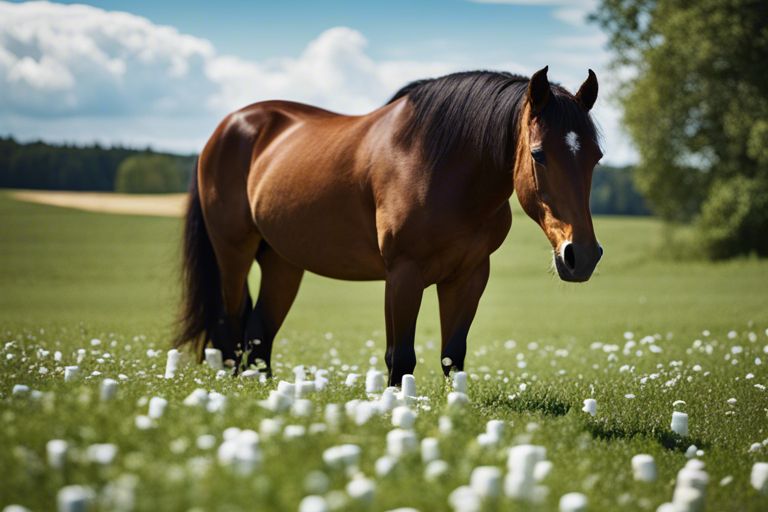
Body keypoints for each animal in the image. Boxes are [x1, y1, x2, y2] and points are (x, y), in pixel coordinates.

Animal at [175, 66, 603, 386]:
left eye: (596, 156)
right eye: (538, 154)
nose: (581, 256)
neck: (438, 164)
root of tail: (228, 127)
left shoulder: (469, 275)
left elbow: (453, 356)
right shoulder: (403, 274)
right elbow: (400, 357)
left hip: (283, 262)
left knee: (259, 335)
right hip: (234, 253)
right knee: (231, 325)